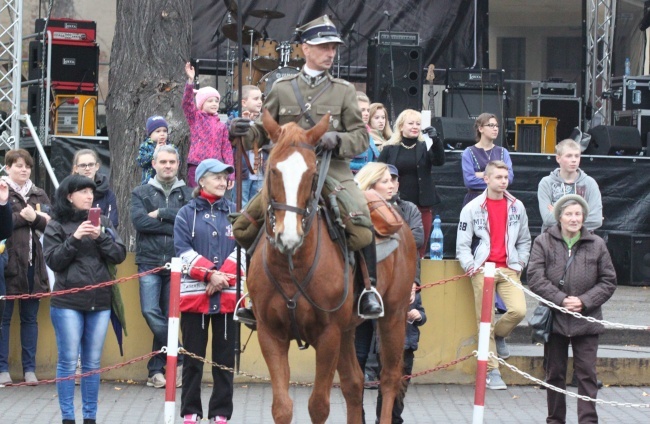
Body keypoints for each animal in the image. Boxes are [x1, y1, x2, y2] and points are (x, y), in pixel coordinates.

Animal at [246, 110, 418, 424]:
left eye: (312, 174)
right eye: (273, 170)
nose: (288, 236)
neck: (292, 267)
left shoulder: (328, 336)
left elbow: (318, 406)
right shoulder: (271, 334)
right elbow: (282, 407)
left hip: (394, 316)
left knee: (389, 378)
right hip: (349, 329)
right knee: (354, 383)